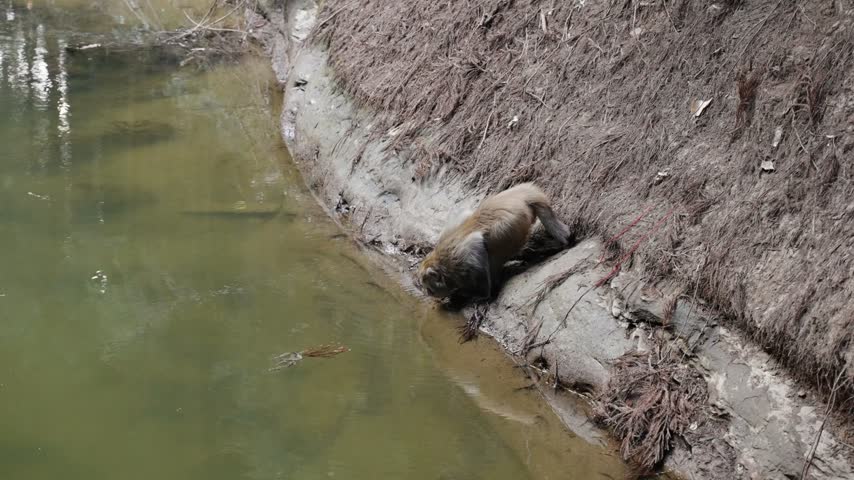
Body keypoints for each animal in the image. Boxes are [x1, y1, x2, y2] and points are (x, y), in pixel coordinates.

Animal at [416, 182, 571, 301]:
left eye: (430, 289)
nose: (429, 293)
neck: (444, 264)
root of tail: (521, 196)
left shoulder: (462, 257)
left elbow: (475, 245)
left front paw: (480, 294)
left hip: (511, 226)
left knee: (491, 247)